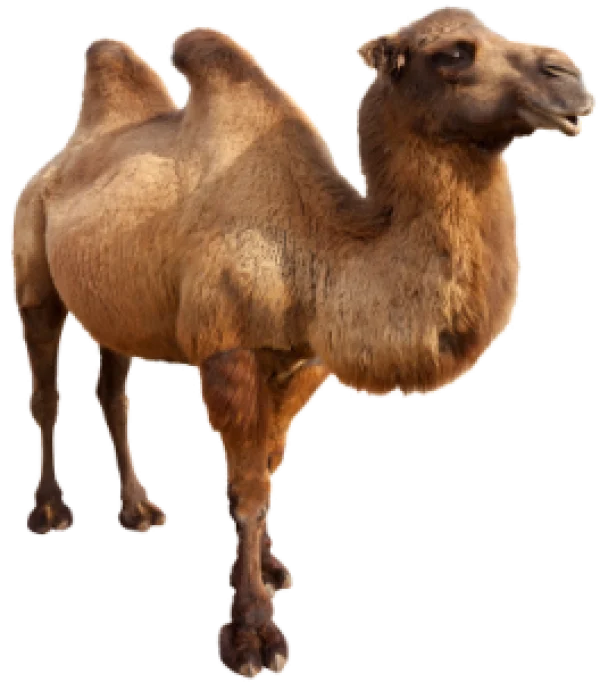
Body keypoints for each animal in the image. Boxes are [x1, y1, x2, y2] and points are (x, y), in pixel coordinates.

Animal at [11, 7, 595, 679]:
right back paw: (49, 514)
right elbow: (245, 490)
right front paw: (253, 636)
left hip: (117, 297)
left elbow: (269, 466)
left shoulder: (304, 358)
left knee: (111, 390)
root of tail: (52, 167)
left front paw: (270, 568)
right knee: (45, 393)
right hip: (33, 265)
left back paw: (140, 513)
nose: (569, 77)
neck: (322, 245)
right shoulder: (228, 352)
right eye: (453, 53)